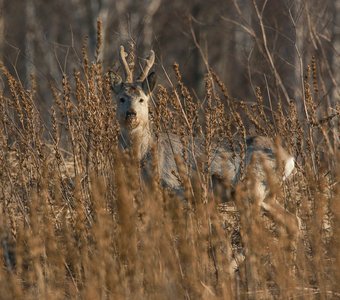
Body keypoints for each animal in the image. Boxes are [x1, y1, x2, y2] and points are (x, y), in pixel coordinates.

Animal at [111, 45, 294, 204]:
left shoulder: (176, 186)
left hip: (254, 188)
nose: (131, 113)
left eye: (142, 99)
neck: (145, 153)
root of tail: (289, 158)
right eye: (121, 98)